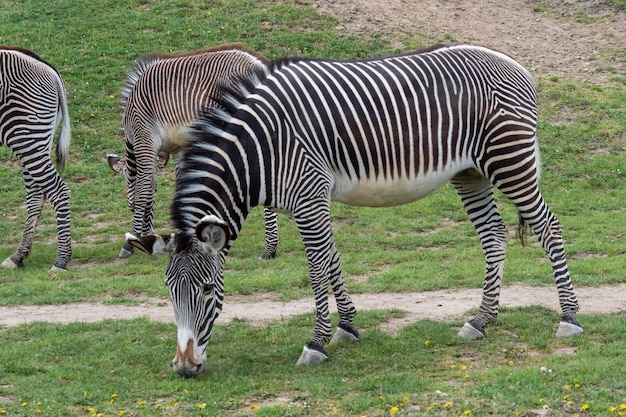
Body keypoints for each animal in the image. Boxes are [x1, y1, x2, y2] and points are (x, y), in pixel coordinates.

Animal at [0, 47, 72, 272]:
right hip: (35, 140)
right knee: (36, 195)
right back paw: (18, 256)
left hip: (25, 136)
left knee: (58, 190)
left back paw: (61, 260)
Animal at [108, 45, 280, 260]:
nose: (147, 238)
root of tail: (260, 64)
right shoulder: (178, 147)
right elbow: (177, 186)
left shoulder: (144, 139)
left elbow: (143, 189)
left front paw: (130, 244)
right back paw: (271, 247)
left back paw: (270, 247)